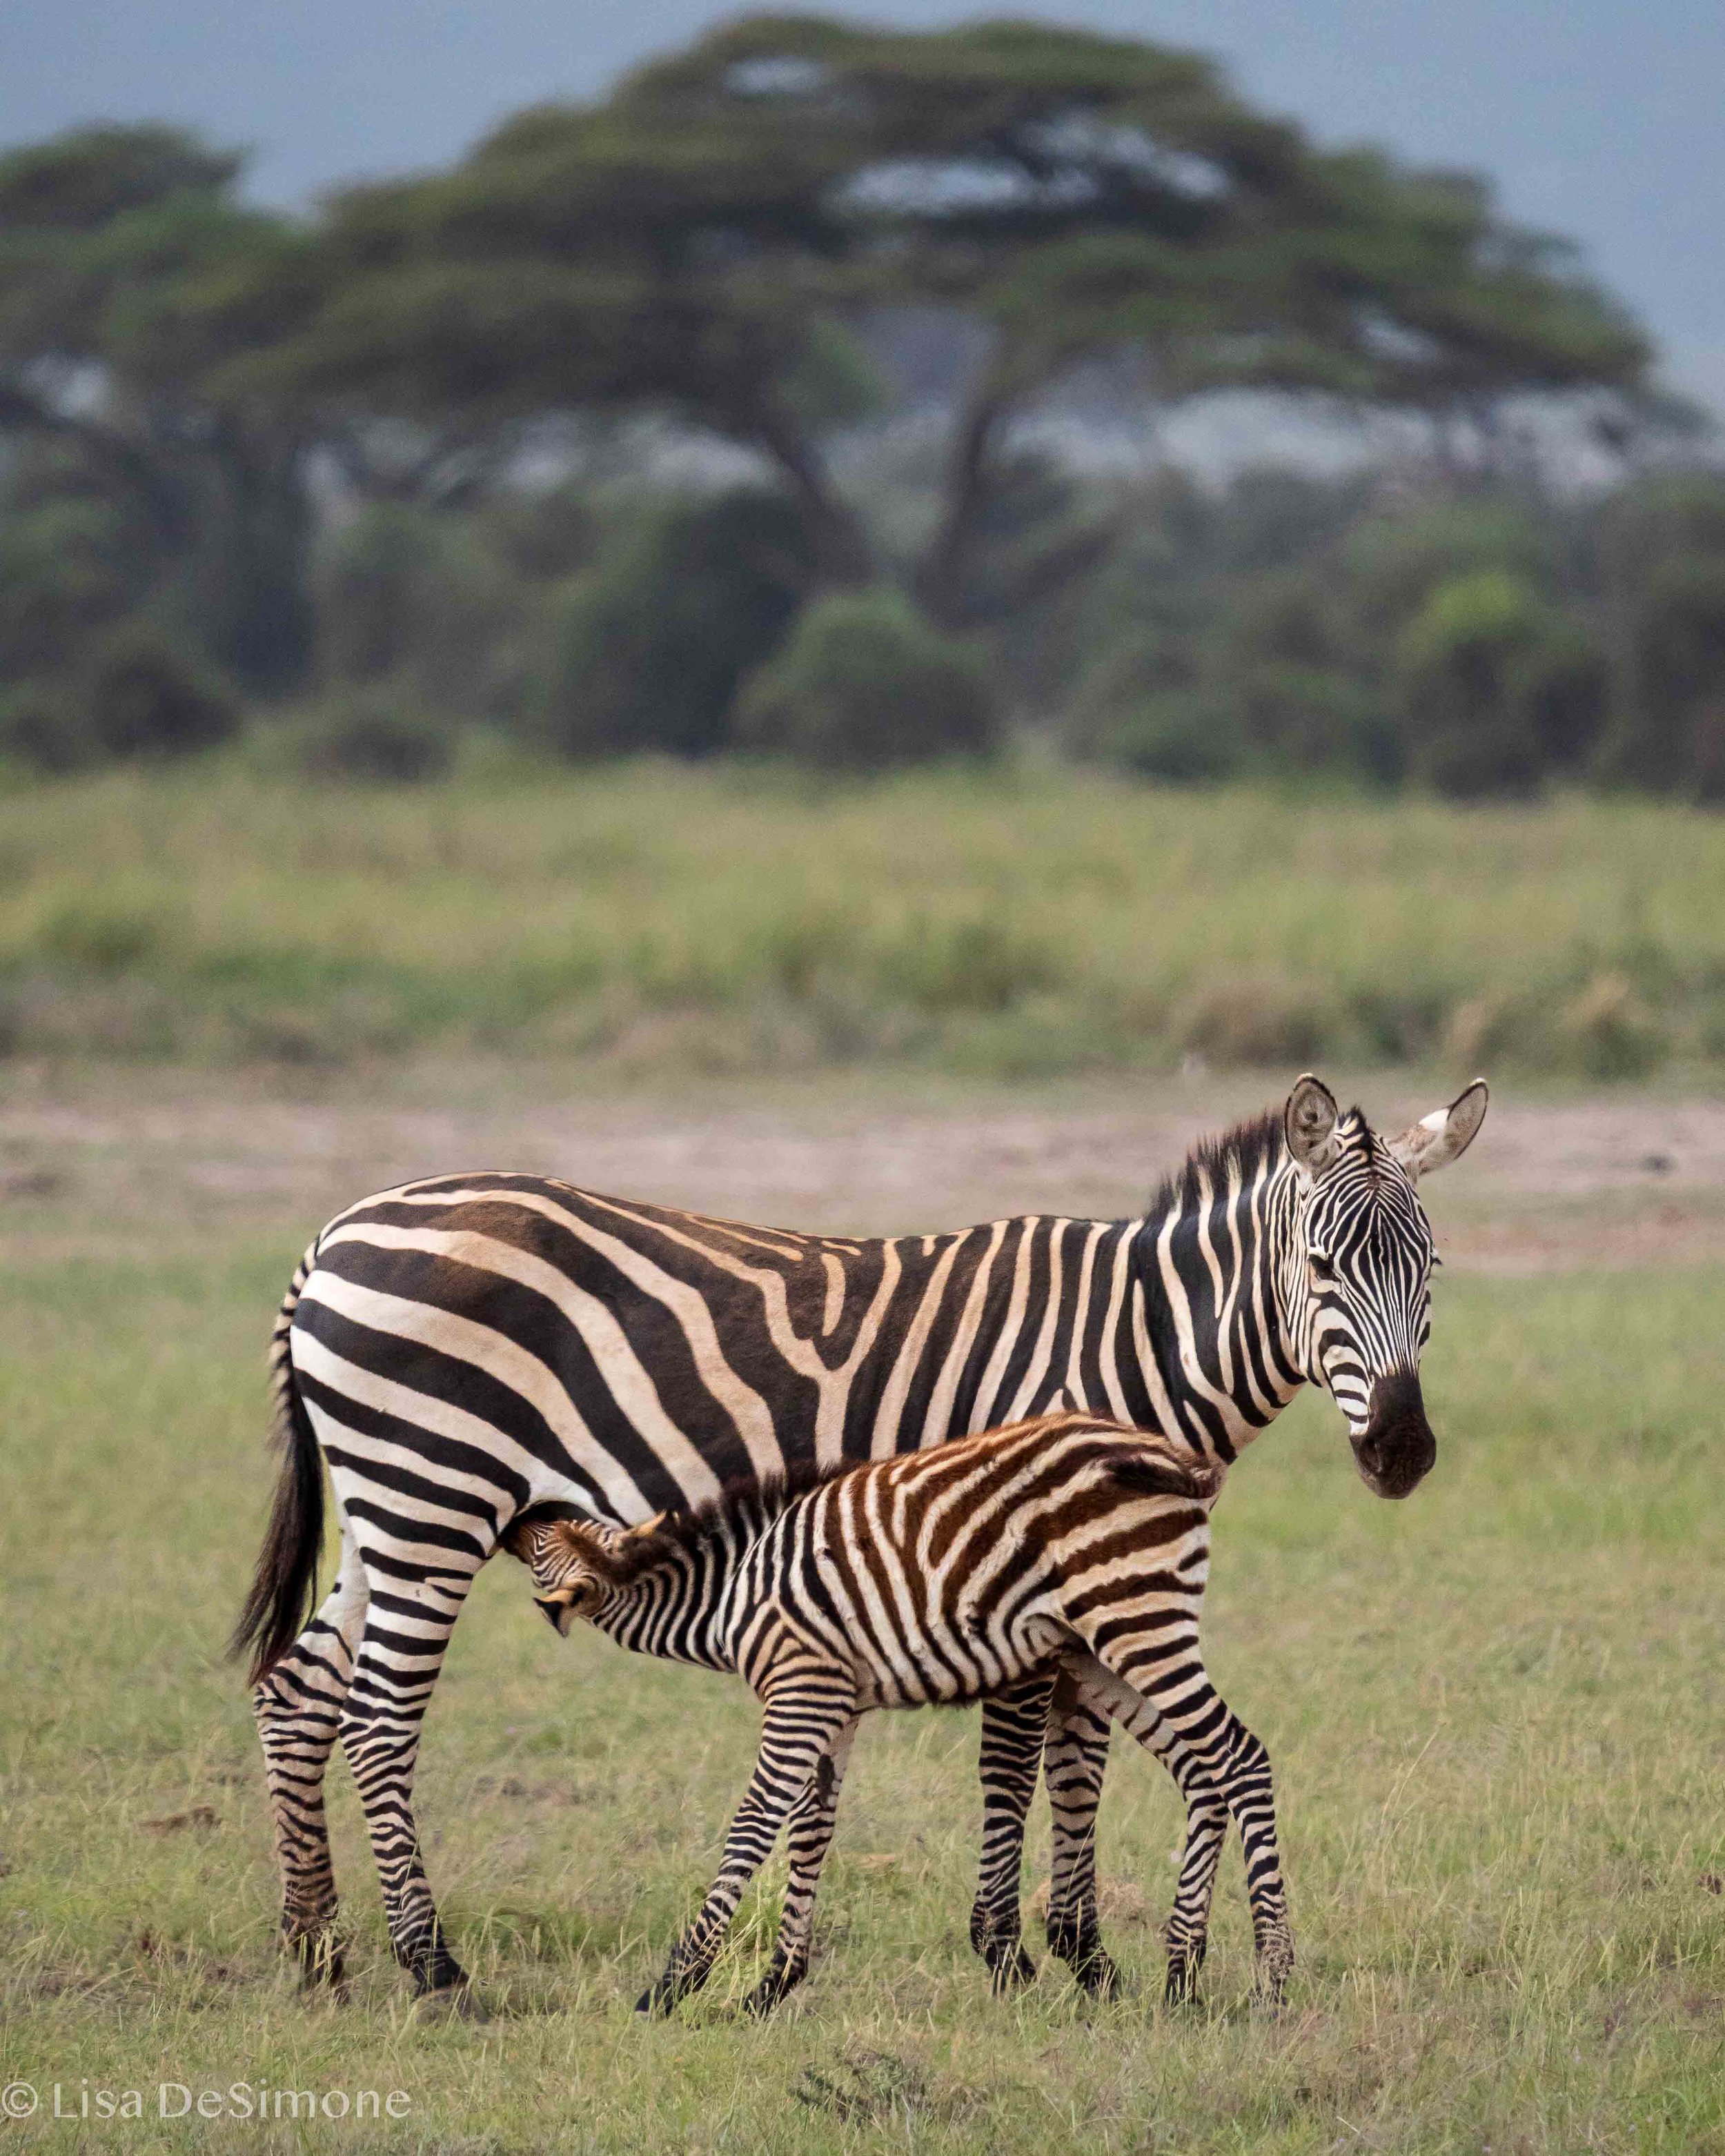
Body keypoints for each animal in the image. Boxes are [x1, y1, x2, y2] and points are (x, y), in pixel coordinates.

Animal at [504, 1423, 1285, 2009]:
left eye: (542, 1540)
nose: (519, 1508)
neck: (725, 1596)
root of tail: (1172, 1455)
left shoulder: (800, 1690)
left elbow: (754, 1824)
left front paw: (674, 1984)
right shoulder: (834, 1703)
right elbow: (812, 1831)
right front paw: (772, 1985)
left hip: (1136, 1622)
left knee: (1241, 1757)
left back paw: (1273, 1976)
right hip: (1100, 1646)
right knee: (1202, 1769)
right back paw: (1182, 1974)